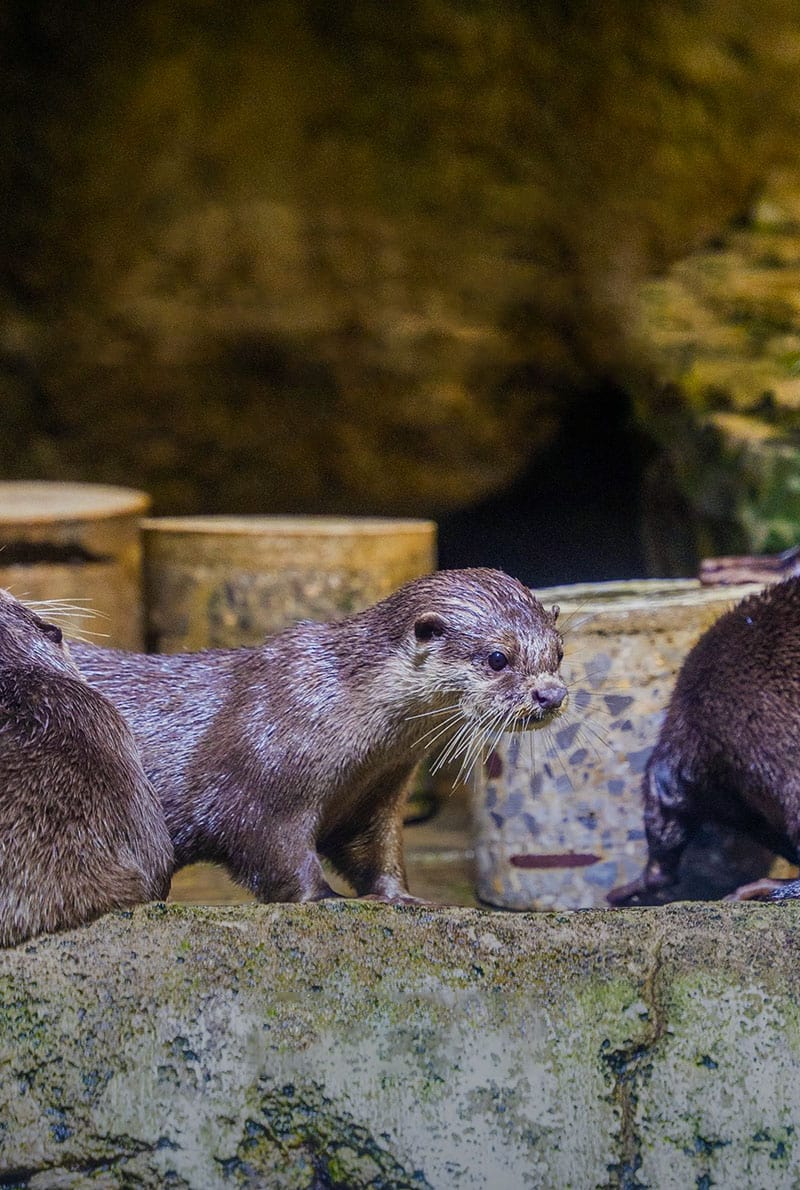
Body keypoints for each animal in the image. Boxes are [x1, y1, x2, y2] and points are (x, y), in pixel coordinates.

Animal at [70, 571, 569, 904]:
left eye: (559, 653)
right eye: (498, 657)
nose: (552, 693)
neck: (333, 703)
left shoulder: (378, 793)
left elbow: (378, 850)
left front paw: (402, 898)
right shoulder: (260, 780)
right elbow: (269, 847)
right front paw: (326, 900)